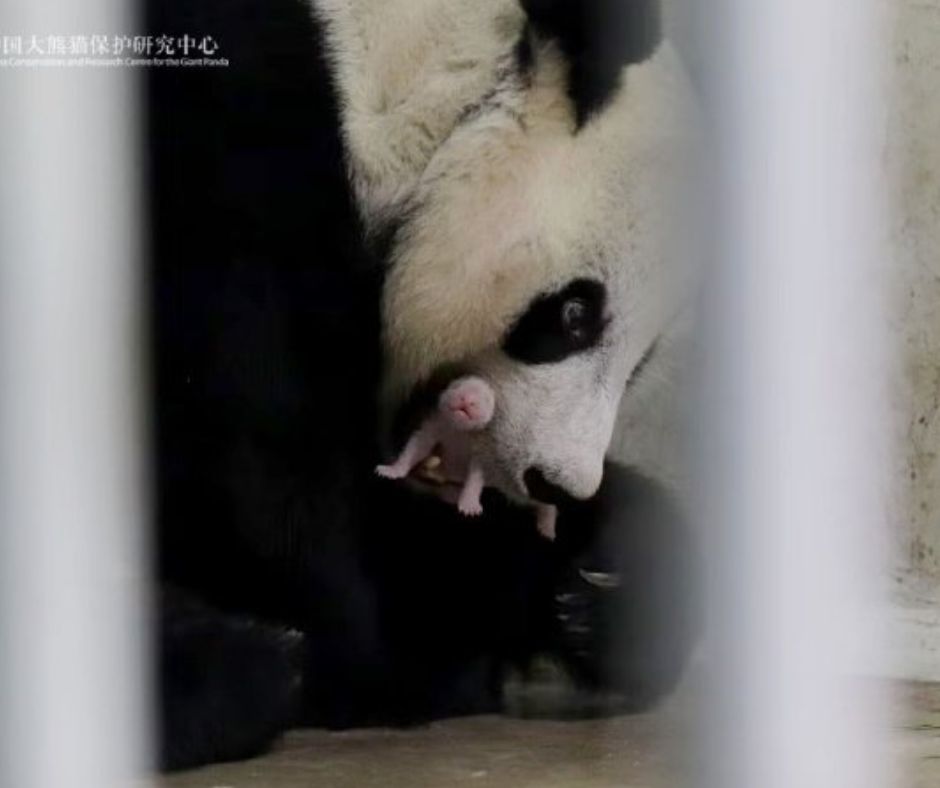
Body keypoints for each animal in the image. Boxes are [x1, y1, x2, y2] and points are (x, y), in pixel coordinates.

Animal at [148, 0, 701, 771]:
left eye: (642, 363)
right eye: (574, 315)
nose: (558, 483)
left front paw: (606, 579)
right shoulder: (228, 155)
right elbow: (252, 469)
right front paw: (394, 653)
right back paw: (239, 673)